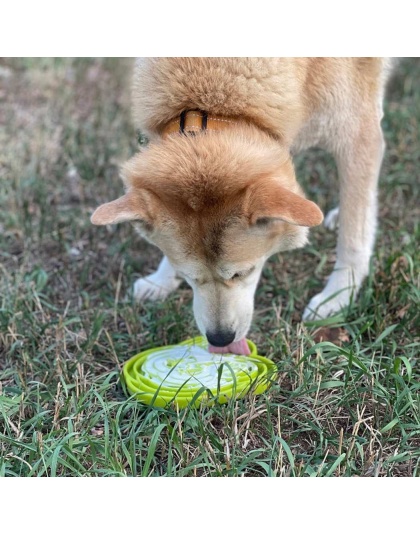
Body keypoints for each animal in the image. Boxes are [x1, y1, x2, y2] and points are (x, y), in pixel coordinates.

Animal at [90, 57, 392, 356]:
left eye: (242, 273)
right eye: (189, 277)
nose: (220, 339)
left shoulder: (359, 136)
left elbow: (354, 237)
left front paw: (339, 295)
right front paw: (161, 280)